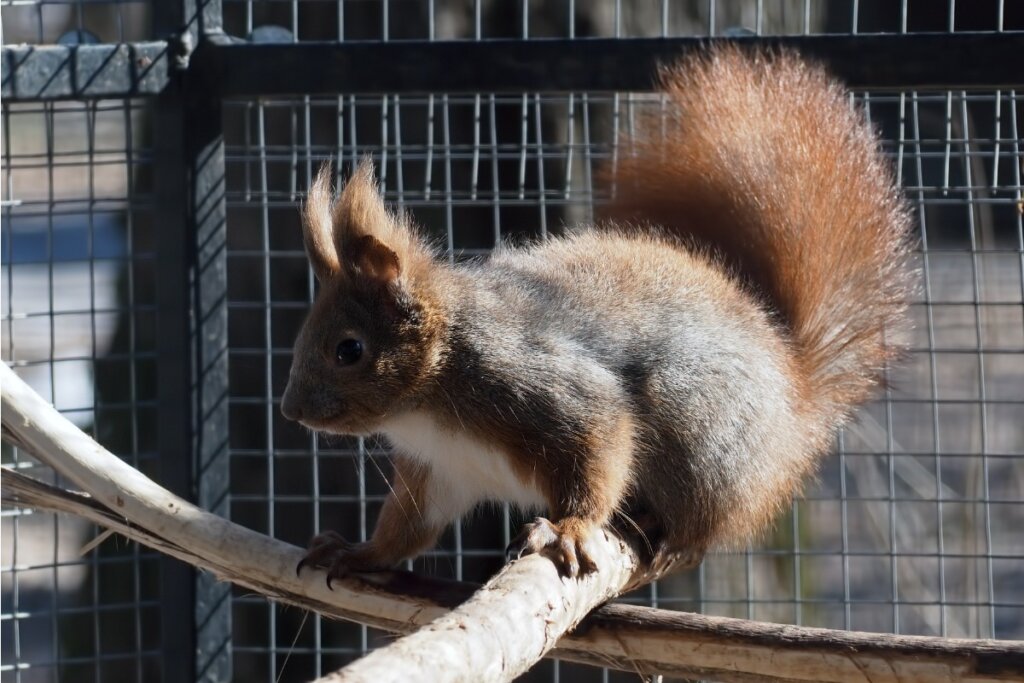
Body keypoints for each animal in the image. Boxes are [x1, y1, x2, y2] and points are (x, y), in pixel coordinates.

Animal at [278, 46, 913, 581]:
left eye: (349, 350)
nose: (290, 412)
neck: (430, 393)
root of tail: (795, 404)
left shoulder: (543, 387)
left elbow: (599, 452)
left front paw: (569, 529)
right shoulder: (440, 471)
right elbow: (407, 527)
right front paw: (359, 552)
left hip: (700, 432)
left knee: (702, 527)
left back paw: (668, 531)